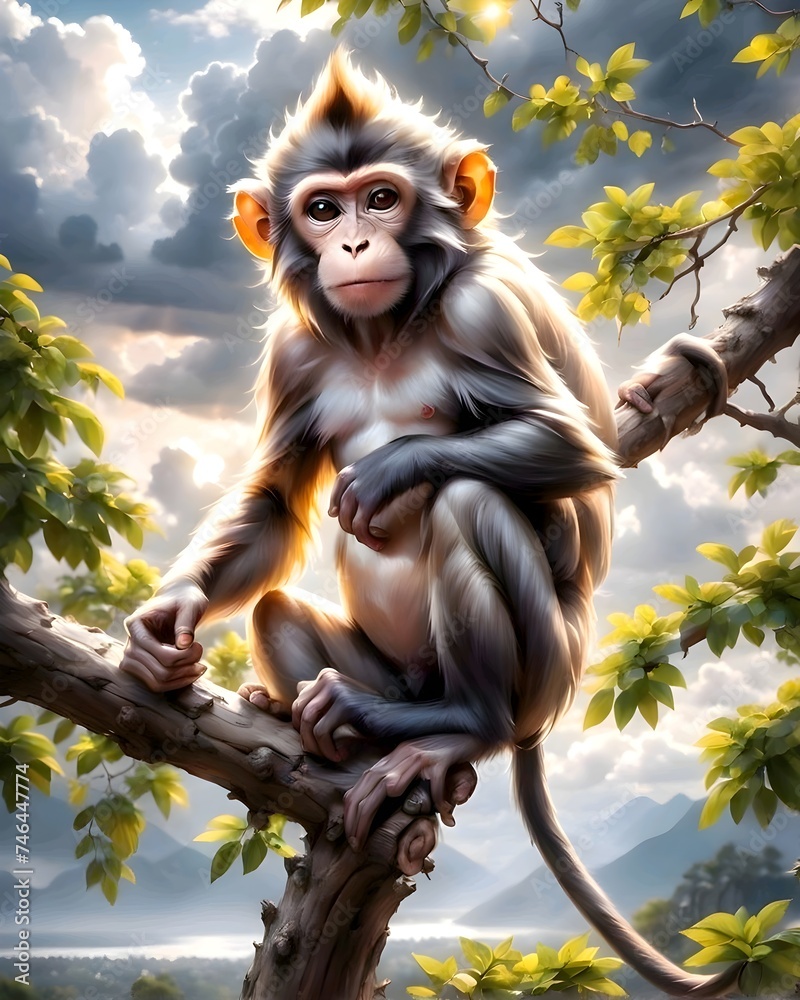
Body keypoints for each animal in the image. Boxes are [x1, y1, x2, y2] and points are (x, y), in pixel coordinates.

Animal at [120, 52, 740, 997]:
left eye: (382, 199)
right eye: (324, 208)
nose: (352, 245)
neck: (384, 334)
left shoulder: (486, 310)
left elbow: (573, 446)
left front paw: (393, 468)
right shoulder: (294, 352)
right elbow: (274, 500)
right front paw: (168, 622)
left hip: (546, 671)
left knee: (470, 503)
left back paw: (461, 728)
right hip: (393, 672)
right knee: (280, 612)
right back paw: (335, 728)